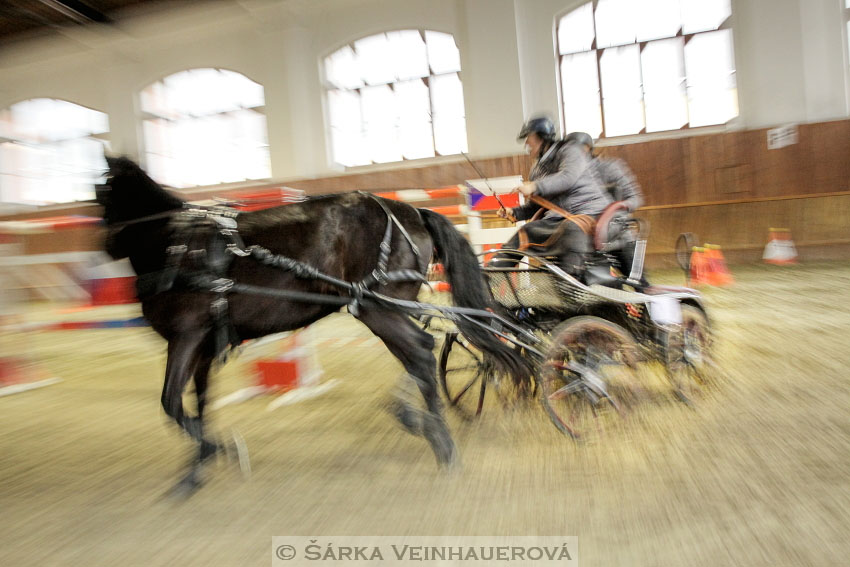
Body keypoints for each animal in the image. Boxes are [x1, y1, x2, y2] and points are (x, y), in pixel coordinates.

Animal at [97, 158, 524, 494]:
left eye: (101, 192)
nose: (106, 246)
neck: (175, 244)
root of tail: (410, 212)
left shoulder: (185, 336)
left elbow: (171, 402)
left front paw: (221, 451)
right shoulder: (203, 343)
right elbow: (200, 403)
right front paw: (198, 468)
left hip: (376, 307)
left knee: (419, 350)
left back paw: (439, 439)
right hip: (387, 305)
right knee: (420, 351)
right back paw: (420, 421)